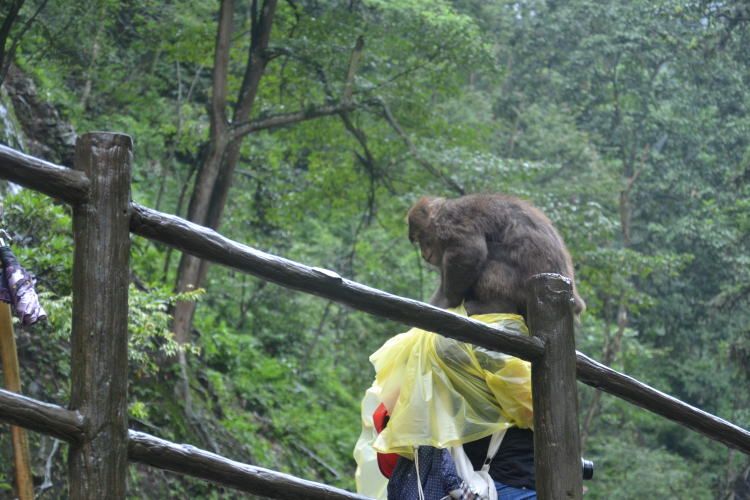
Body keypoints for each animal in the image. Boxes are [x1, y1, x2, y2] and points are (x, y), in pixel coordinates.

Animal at [406, 193, 588, 318]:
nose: (423, 254)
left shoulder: (451, 223)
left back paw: (498, 307)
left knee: (489, 258)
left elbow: (471, 249)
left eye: (420, 237)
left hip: (522, 290)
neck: (439, 217)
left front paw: (454, 300)